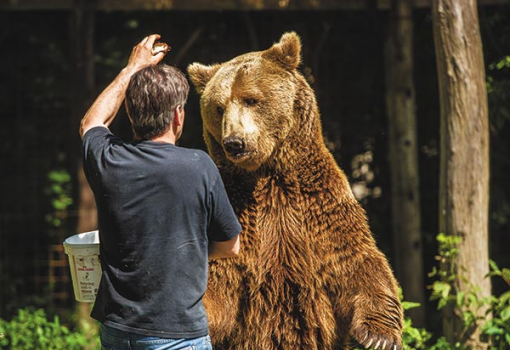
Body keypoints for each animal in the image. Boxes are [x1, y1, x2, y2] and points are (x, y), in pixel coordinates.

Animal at [187, 32, 402, 350]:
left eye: (251, 99)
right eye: (219, 107)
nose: (234, 142)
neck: (268, 175)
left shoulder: (318, 206)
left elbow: (356, 263)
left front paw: (379, 337)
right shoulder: (230, 212)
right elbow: (218, 277)